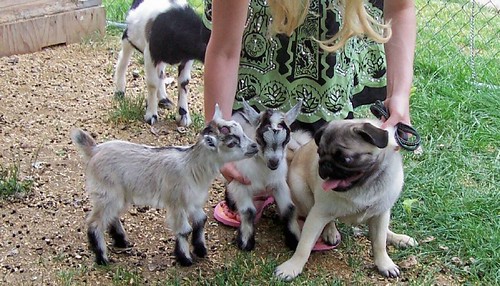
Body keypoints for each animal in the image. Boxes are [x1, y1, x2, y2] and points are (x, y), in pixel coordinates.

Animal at [71, 105, 258, 266]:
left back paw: (121, 241)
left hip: (119, 194)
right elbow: (184, 230)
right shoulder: (176, 201)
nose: (255, 146)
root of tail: (94, 150)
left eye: (243, 132)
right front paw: (185, 259)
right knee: (95, 222)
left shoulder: (193, 201)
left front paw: (201, 250)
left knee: (111, 216)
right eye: (232, 142)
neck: (192, 166)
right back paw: (102, 258)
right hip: (107, 192)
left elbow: (201, 220)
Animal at [225, 100, 302, 250]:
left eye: (286, 140)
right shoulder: (240, 183)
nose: (274, 162)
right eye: (260, 138)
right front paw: (245, 242)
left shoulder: (279, 184)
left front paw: (295, 239)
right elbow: (248, 211)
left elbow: (290, 209)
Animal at [276, 119, 416, 282]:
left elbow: (379, 243)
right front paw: (292, 267)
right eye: (319, 153)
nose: (325, 164)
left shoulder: (381, 214)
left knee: (383, 231)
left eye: (344, 159)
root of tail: (296, 152)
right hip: (303, 195)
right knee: (327, 220)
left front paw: (385, 264)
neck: (363, 186)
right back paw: (331, 232)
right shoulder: (318, 213)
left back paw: (399, 238)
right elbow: (304, 246)